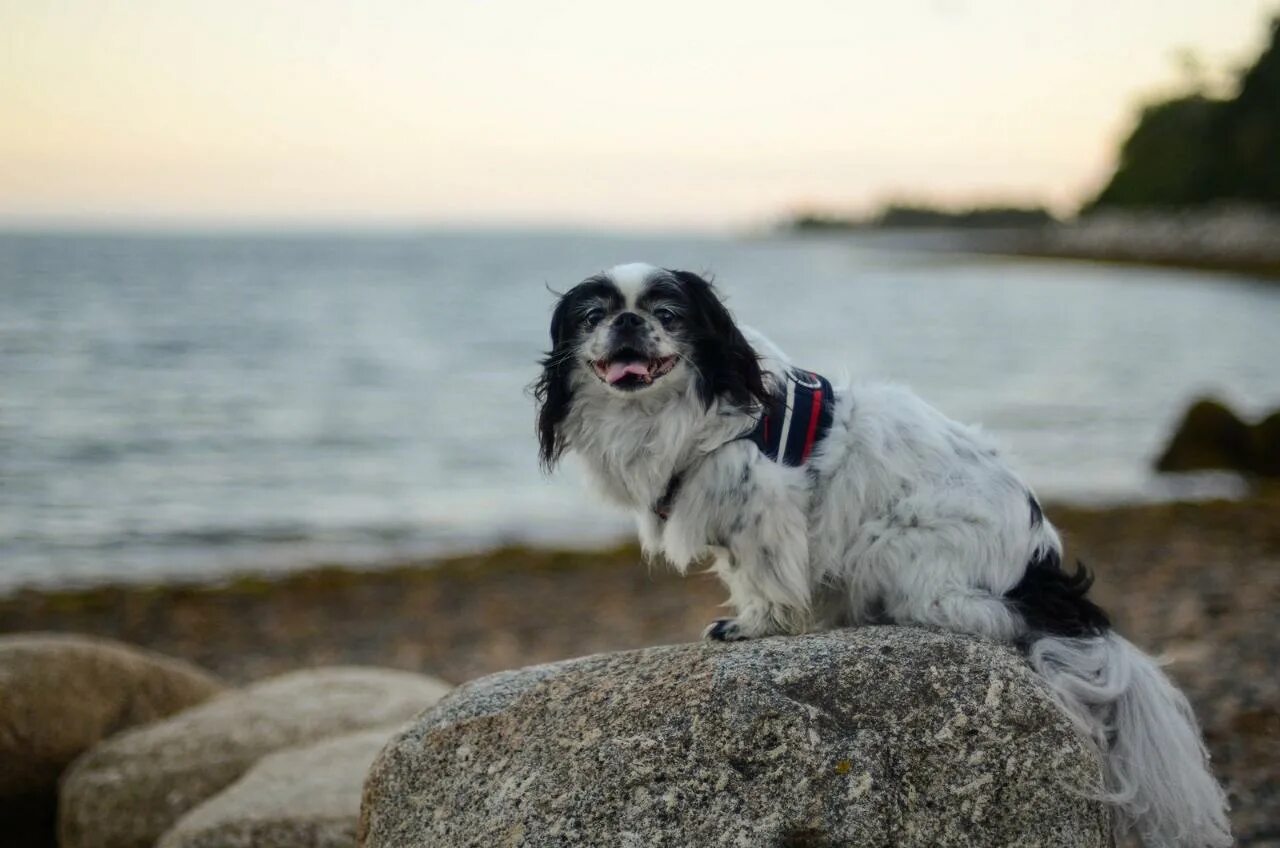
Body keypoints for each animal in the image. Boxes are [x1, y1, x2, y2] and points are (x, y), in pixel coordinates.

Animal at [532, 262, 1228, 845]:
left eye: (667, 313)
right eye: (593, 317)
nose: (628, 322)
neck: (660, 413)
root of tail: (1041, 568)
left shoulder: (766, 501)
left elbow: (764, 576)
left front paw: (756, 627)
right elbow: (743, 570)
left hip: (891, 547)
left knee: (994, 619)